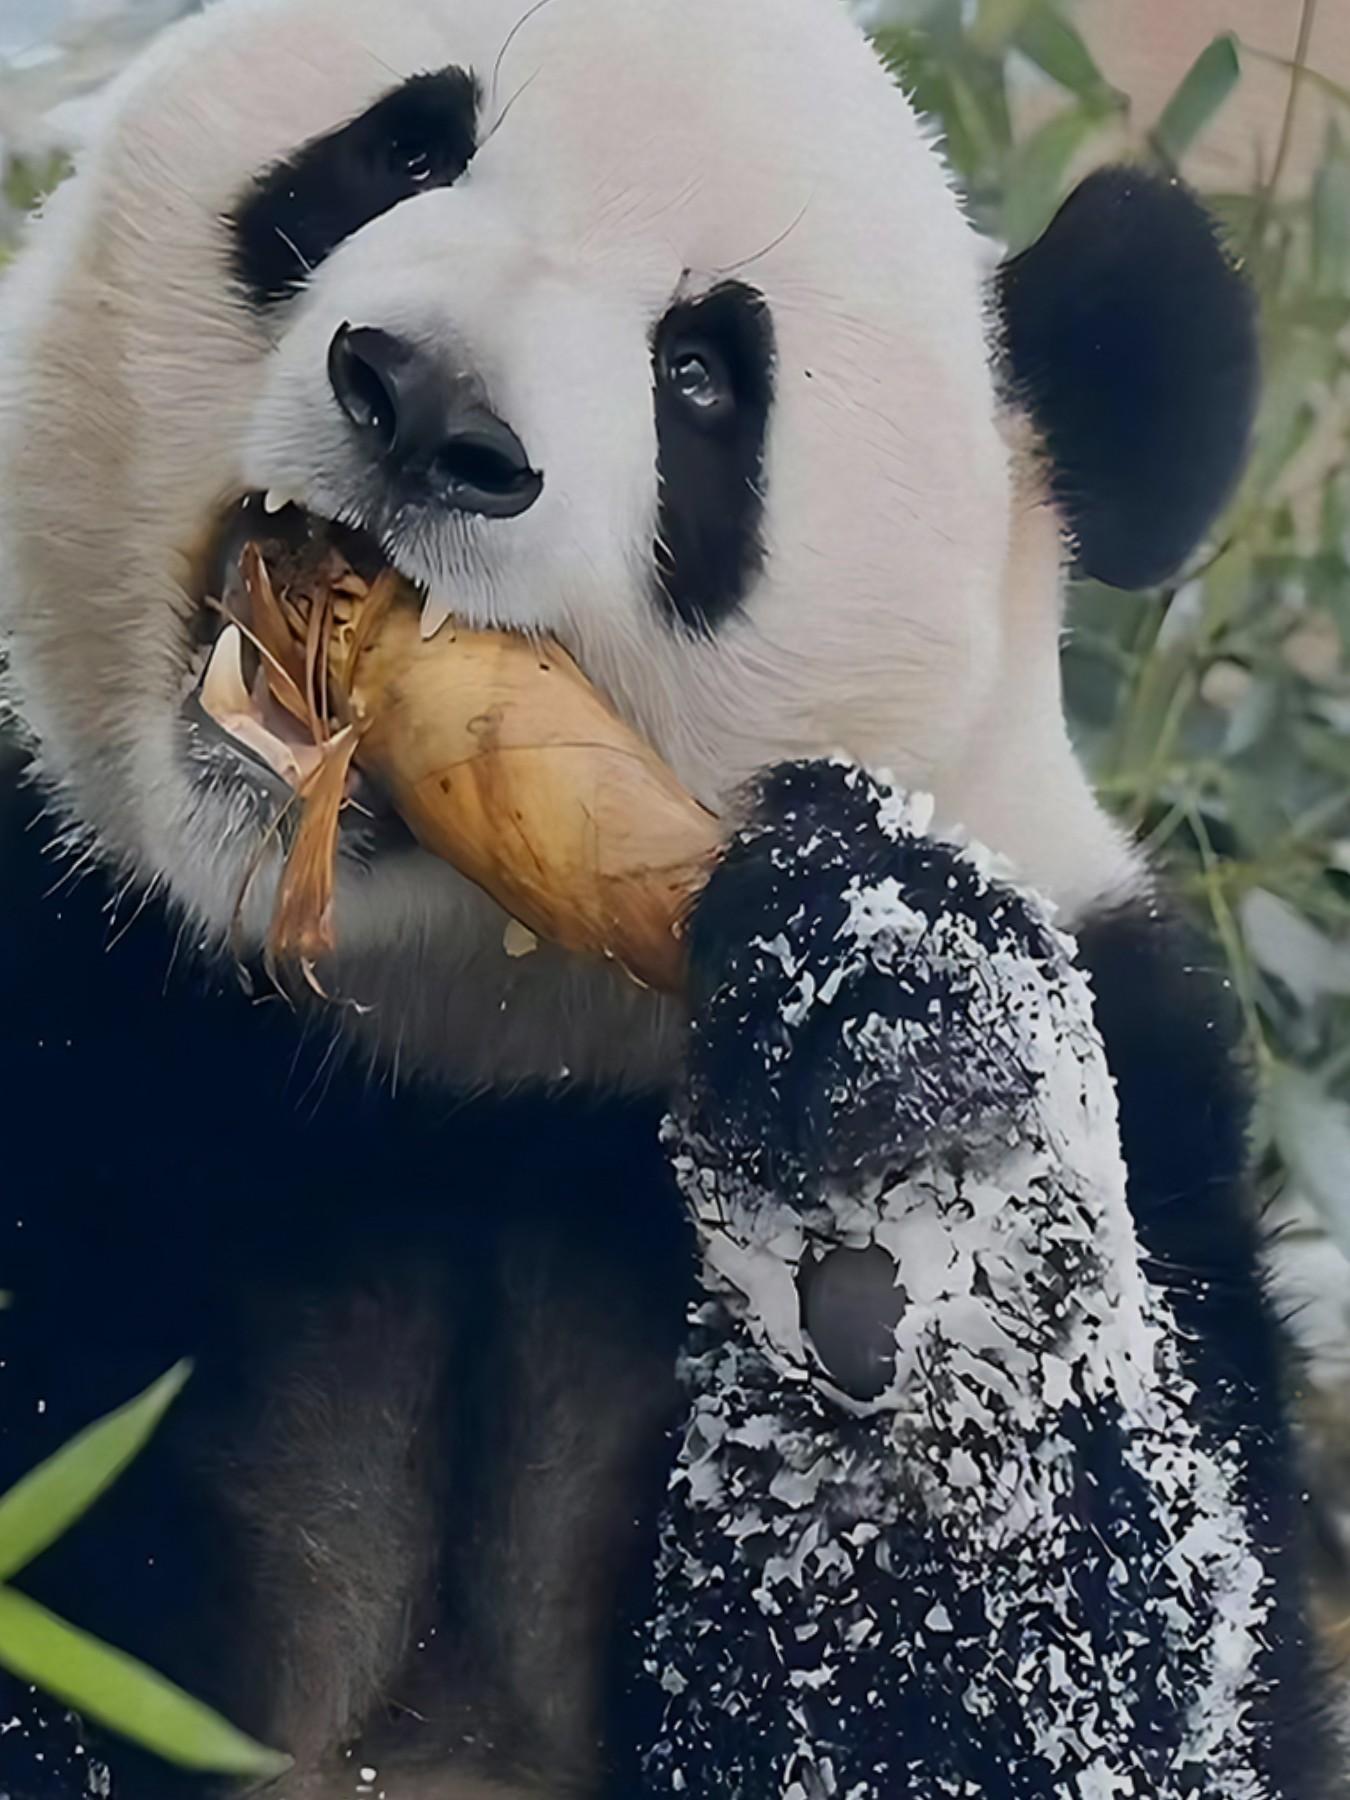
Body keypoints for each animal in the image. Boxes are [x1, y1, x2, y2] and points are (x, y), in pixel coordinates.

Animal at [0, 0, 1336, 1794]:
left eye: (701, 377)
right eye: (400, 151)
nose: (427, 405)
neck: (456, 1042)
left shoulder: (1152, 1108)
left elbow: (1090, 1703)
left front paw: (887, 1103)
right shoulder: (80, 990)